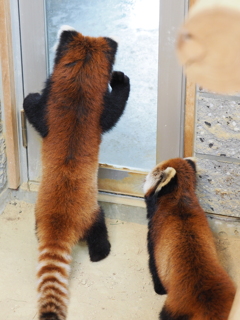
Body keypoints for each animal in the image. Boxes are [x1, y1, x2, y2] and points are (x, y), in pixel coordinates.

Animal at [23, 25, 130, 320]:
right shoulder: (97, 114)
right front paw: (121, 81)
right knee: (99, 229)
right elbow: (116, 108)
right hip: (92, 211)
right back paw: (101, 252)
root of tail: (60, 222)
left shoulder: (51, 114)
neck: (78, 88)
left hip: (39, 213)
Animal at [143, 158, 235, 320]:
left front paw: (159, 289)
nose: (143, 179)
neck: (179, 197)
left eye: (150, 175)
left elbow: (153, 265)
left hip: (175, 306)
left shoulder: (154, 235)